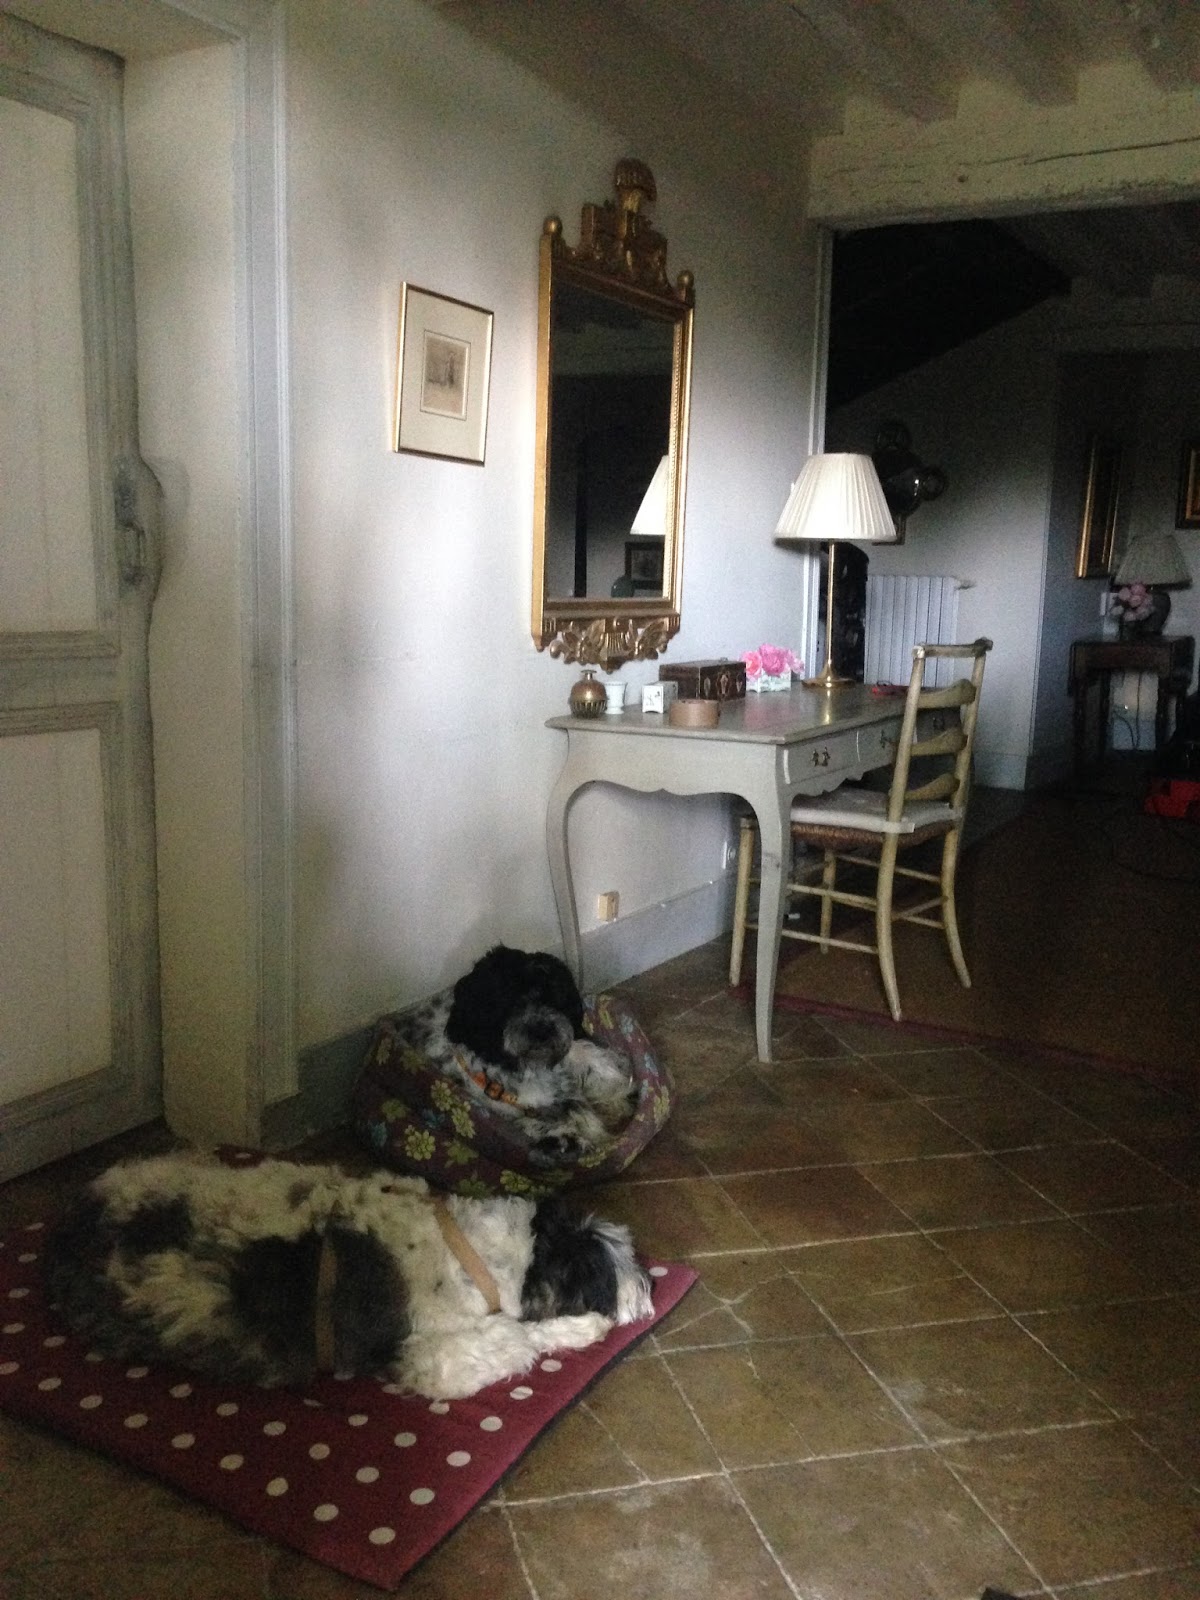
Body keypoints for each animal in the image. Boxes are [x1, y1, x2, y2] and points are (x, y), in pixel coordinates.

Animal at [43, 1151, 653, 1399]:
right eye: (605, 1276)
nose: (648, 1291)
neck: (476, 1252)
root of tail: (71, 1221)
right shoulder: (435, 1361)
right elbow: (515, 1337)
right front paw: (584, 1330)